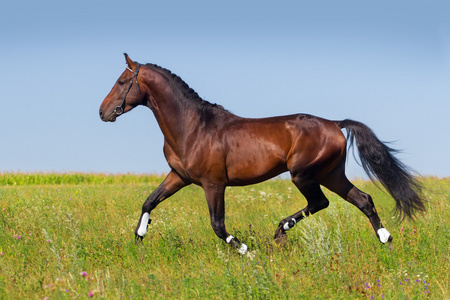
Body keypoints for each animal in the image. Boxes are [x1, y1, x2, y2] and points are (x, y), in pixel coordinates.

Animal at [99, 53, 426, 253]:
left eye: (122, 82)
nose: (102, 112)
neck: (191, 126)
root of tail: (335, 124)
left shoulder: (213, 184)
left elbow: (218, 225)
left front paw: (246, 250)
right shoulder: (179, 176)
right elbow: (149, 201)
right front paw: (139, 236)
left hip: (303, 174)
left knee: (321, 202)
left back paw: (281, 230)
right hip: (331, 174)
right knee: (363, 200)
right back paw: (386, 240)